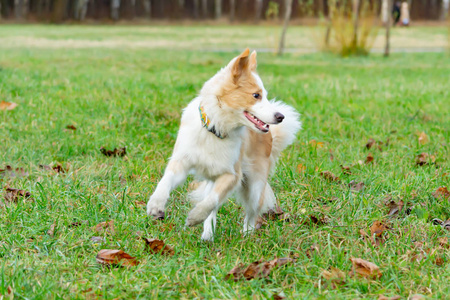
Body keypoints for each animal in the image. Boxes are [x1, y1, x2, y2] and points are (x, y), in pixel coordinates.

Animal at [148, 49, 300, 241]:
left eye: (264, 95)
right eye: (256, 95)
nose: (281, 117)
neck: (215, 129)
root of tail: (271, 136)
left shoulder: (231, 175)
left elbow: (212, 201)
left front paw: (195, 216)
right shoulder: (182, 161)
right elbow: (166, 180)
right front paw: (156, 204)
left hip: (255, 185)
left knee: (250, 211)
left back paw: (246, 233)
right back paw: (208, 233)